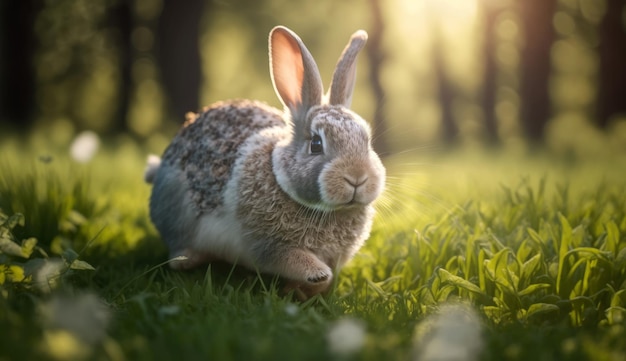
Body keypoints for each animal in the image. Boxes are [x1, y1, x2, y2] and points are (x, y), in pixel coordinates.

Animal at [144, 26, 382, 298]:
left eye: (367, 141)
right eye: (316, 144)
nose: (357, 177)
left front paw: (301, 290)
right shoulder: (267, 246)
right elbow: (294, 260)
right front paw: (313, 277)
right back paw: (189, 259)